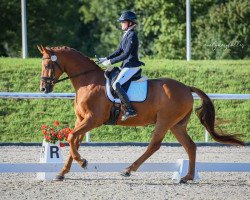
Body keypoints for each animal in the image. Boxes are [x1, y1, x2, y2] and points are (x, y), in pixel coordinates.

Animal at [37, 45, 244, 183]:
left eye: (48, 65)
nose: (43, 88)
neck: (88, 81)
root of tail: (186, 88)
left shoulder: (93, 119)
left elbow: (71, 137)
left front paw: (83, 162)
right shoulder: (81, 119)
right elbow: (74, 140)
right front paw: (62, 172)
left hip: (164, 122)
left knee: (154, 145)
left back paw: (129, 169)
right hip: (177, 125)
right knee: (190, 146)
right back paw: (187, 177)